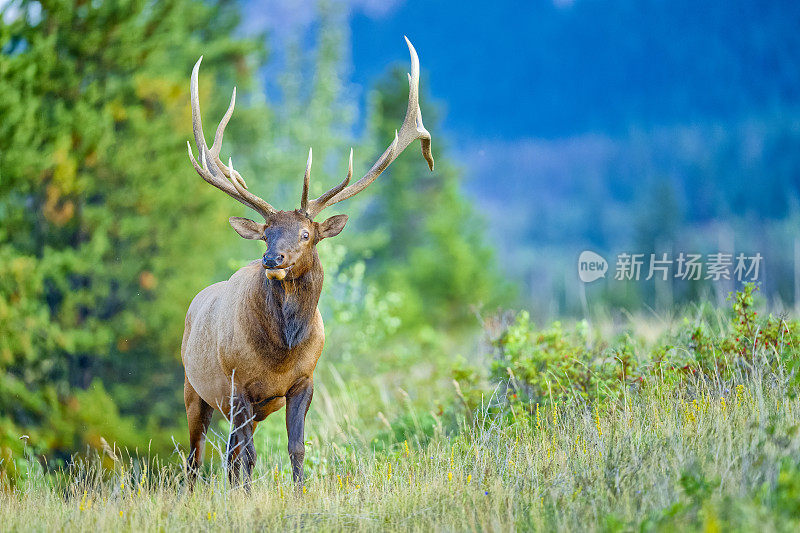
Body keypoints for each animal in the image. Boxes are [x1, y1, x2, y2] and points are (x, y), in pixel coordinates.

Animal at [180, 35, 434, 488]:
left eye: (305, 234)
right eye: (265, 232)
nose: (271, 258)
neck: (282, 351)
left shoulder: (303, 382)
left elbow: (296, 448)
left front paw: (298, 493)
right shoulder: (238, 385)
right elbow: (250, 457)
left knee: (227, 455)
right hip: (196, 389)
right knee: (197, 458)